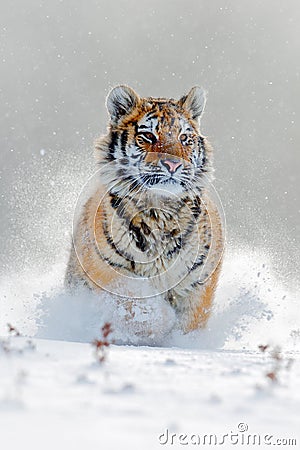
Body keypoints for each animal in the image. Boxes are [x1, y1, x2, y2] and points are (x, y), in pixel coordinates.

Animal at [65, 85, 225, 334]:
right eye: (149, 136)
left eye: (184, 138)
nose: (173, 164)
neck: (160, 210)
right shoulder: (106, 268)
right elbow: (139, 305)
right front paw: (163, 321)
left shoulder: (201, 275)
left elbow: (193, 318)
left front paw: (184, 339)